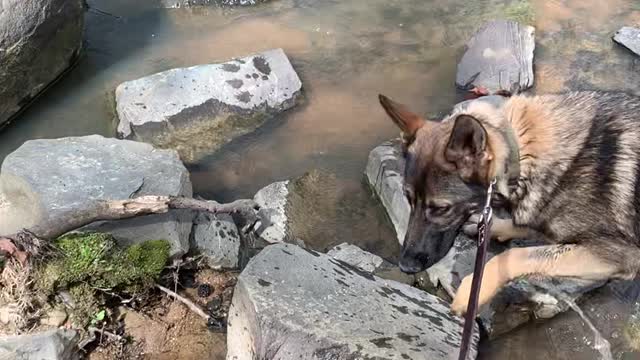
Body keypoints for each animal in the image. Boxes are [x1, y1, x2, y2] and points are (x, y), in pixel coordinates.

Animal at [378, 90, 640, 316]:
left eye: (441, 209)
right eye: (409, 199)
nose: (405, 265)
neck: (522, 155)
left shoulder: (618, 256)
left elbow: (515, 255)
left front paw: (471, 290)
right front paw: (493, 227)